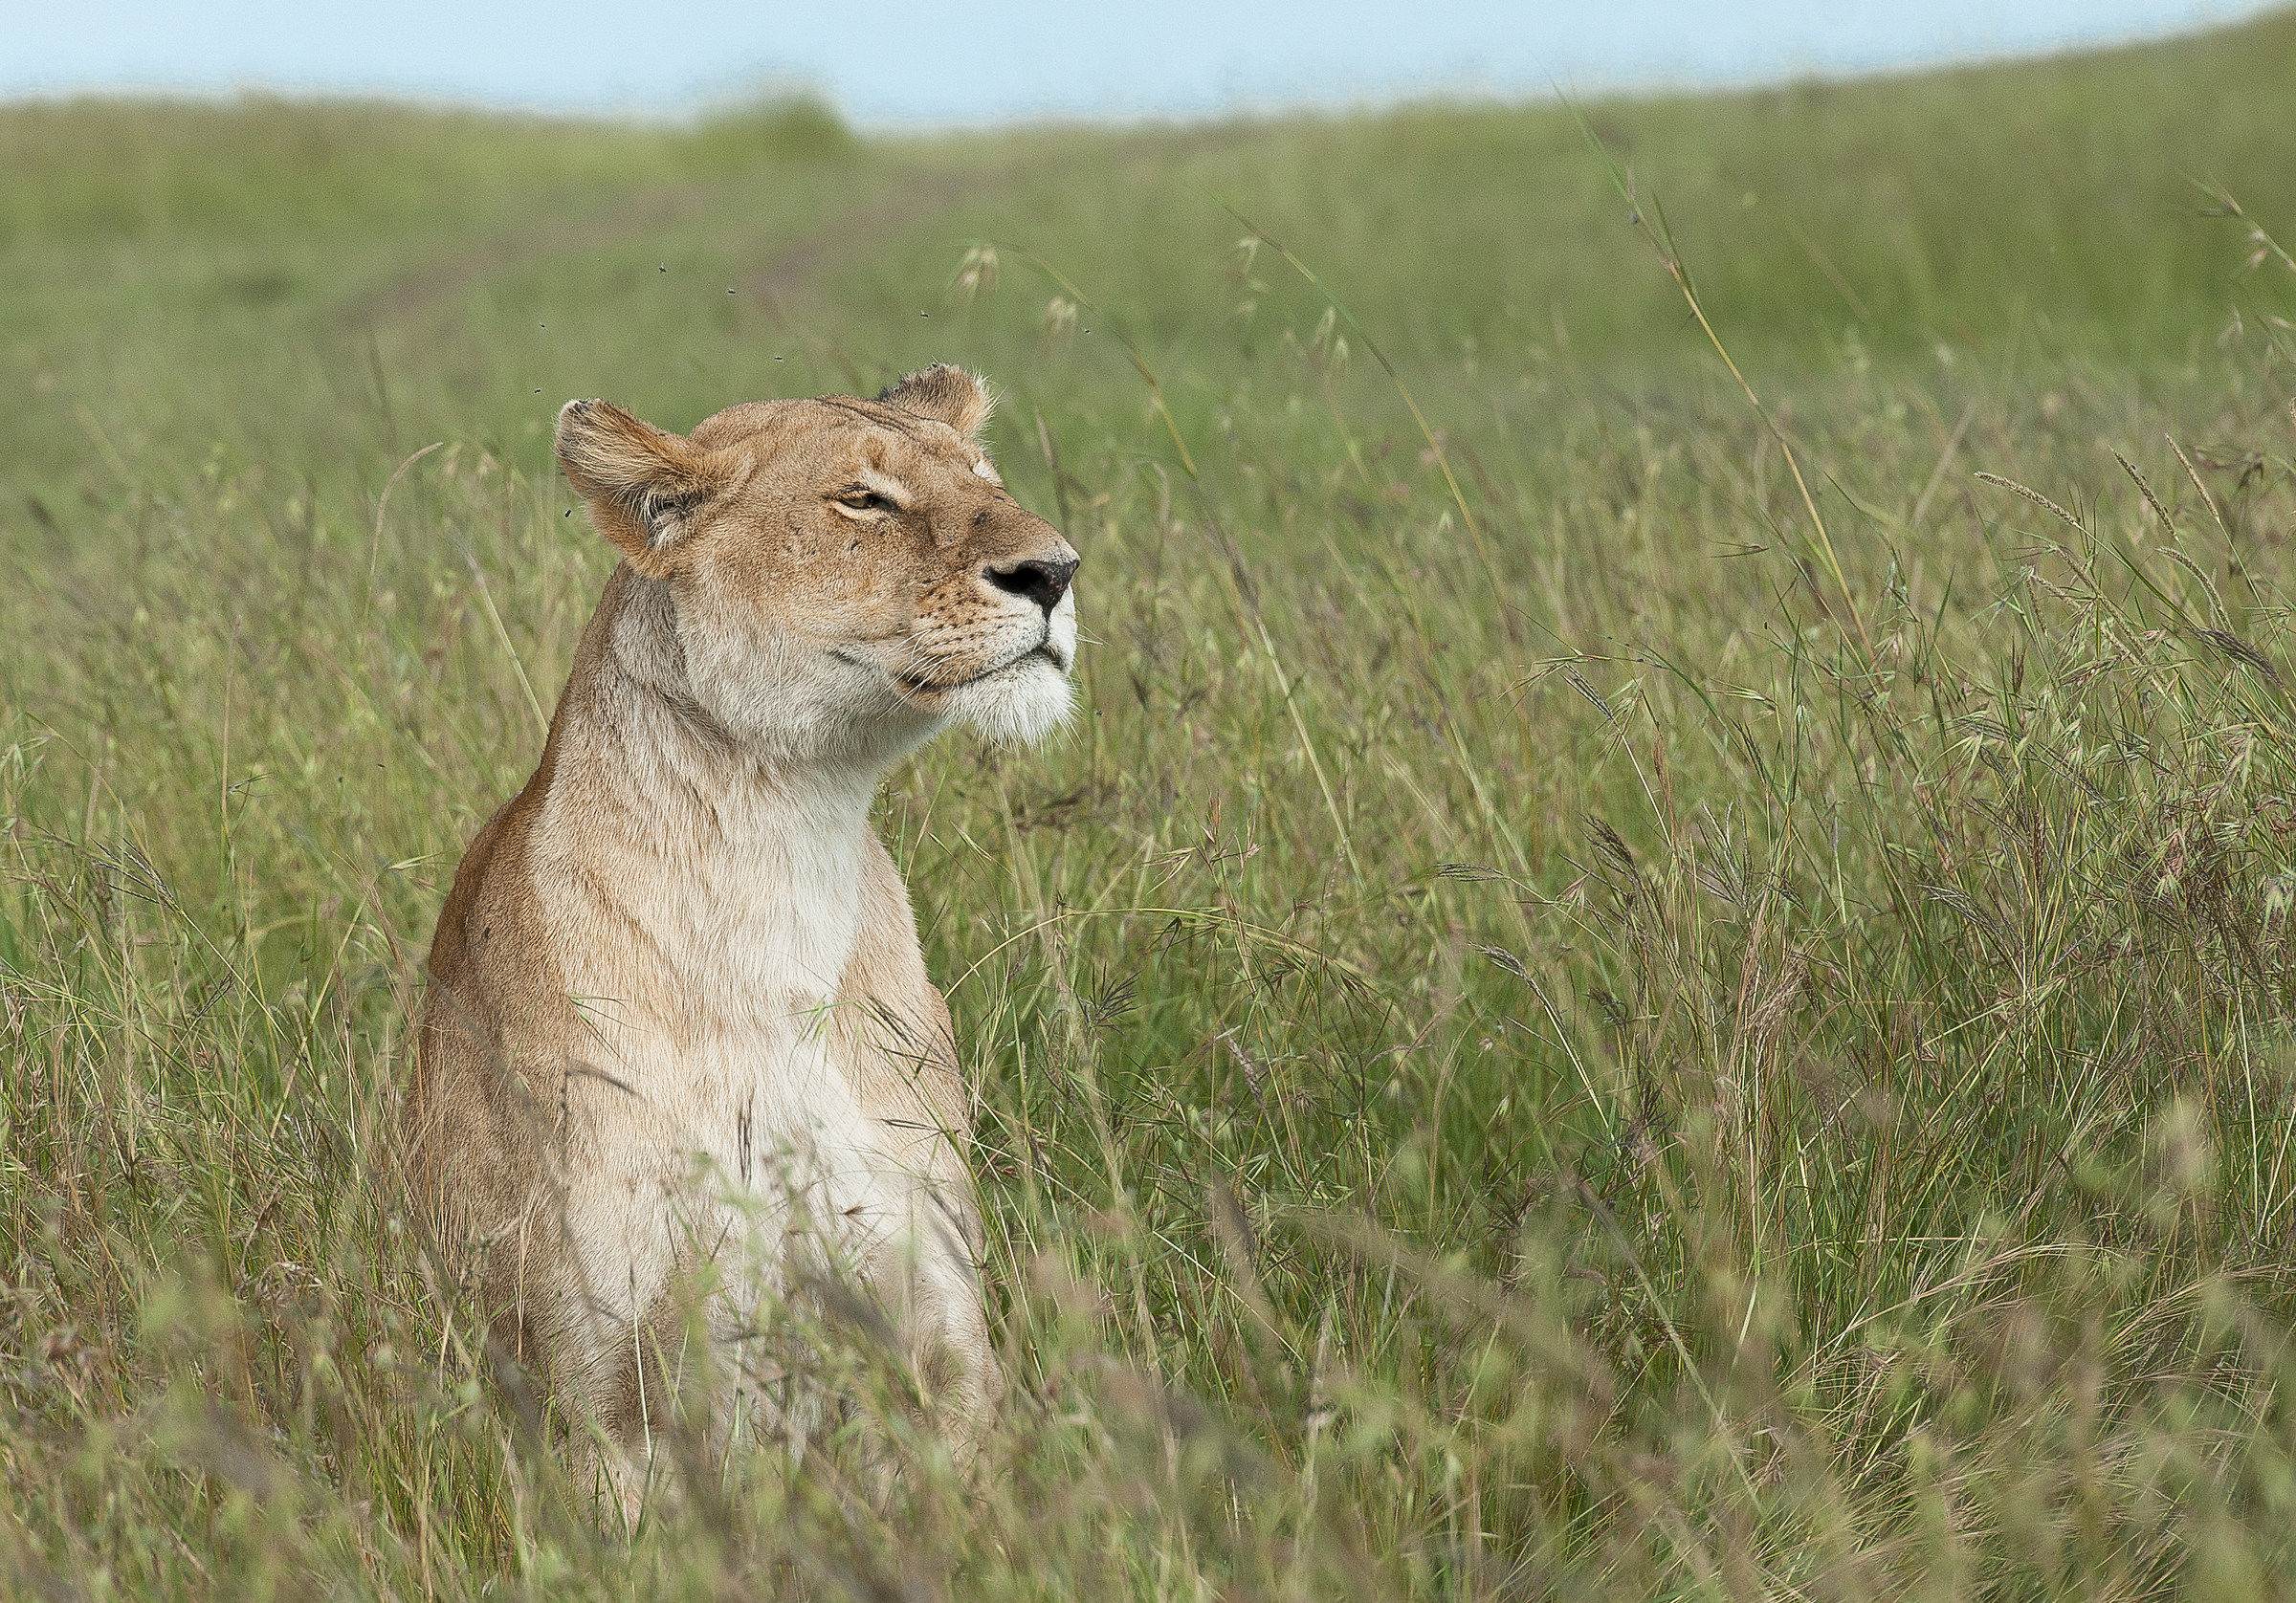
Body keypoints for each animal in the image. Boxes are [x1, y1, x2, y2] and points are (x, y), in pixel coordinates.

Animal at [402, 366, 1078, 1522]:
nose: (1057, 571)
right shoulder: (600, 1393)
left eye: (988, 480)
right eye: (863, 500)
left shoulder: (943, 1333)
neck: (782, 858)